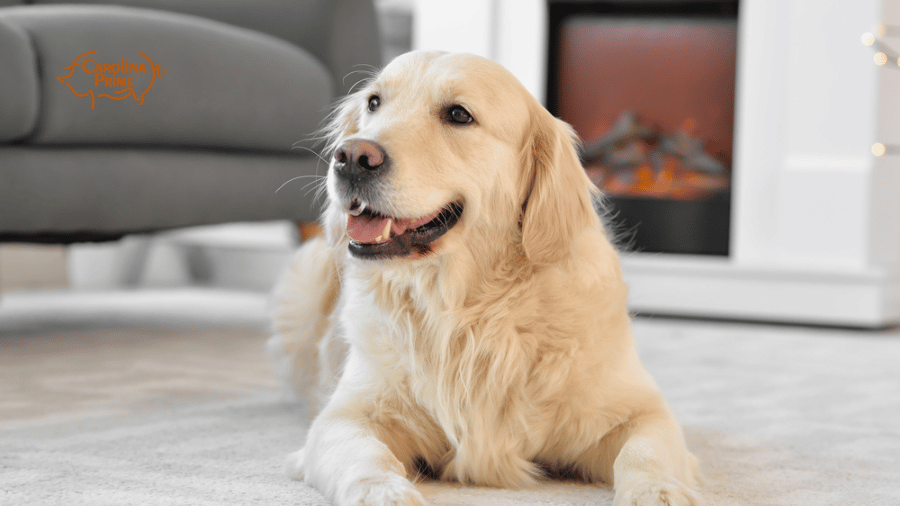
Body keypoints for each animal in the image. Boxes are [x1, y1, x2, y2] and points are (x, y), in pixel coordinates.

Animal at [268, 51, 704, 506]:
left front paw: (658, 492)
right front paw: (383, 493)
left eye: (459, 114)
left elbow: (643, 452)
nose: (351, 156)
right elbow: (365, 454)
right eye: (374, 103)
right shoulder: (345, 416)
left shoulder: (641, 411)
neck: (467, 308)